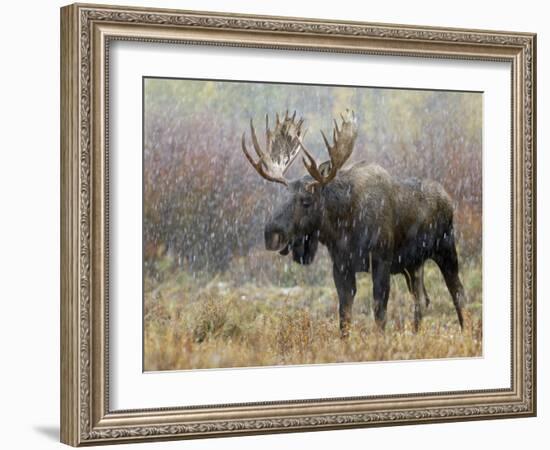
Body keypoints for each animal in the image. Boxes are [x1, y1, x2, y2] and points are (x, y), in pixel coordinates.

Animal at [242, 109, 466, 336]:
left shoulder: (381, 259)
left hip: (446, 249)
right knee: (421, 299)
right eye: (283, 196)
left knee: (458, 293)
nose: (271, 234)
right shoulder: (341, 265)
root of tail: (448, 199)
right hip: (413, 264)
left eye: (306, 200)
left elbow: (379, 311)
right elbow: (344, 315)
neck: (343, 226)